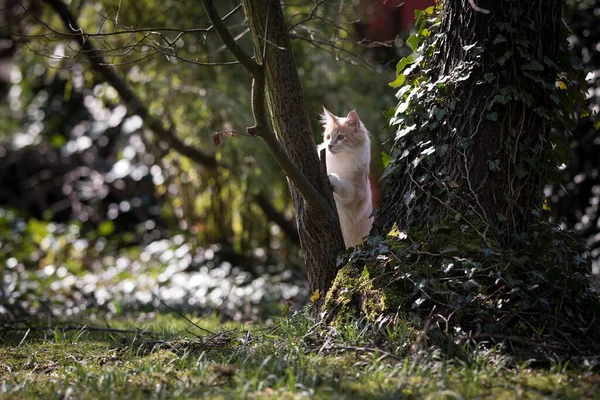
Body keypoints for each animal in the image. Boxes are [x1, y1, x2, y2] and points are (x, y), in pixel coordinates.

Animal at [318, 108, 370, 248]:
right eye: (328, 137)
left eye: (341, 137)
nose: (329, 146)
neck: (340, 160)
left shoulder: (357, 192)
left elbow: (344, 187)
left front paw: (332, 179)